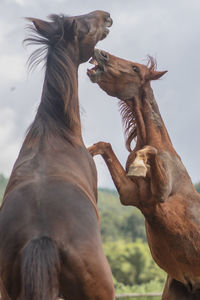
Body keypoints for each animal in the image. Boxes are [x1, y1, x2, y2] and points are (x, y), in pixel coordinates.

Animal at [88, 49, 200, 300]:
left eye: (135, 68)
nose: (101, 53)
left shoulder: (159, 194)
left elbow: (151, 151)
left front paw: (139, 164)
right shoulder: (132, 195)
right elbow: (102, 145)